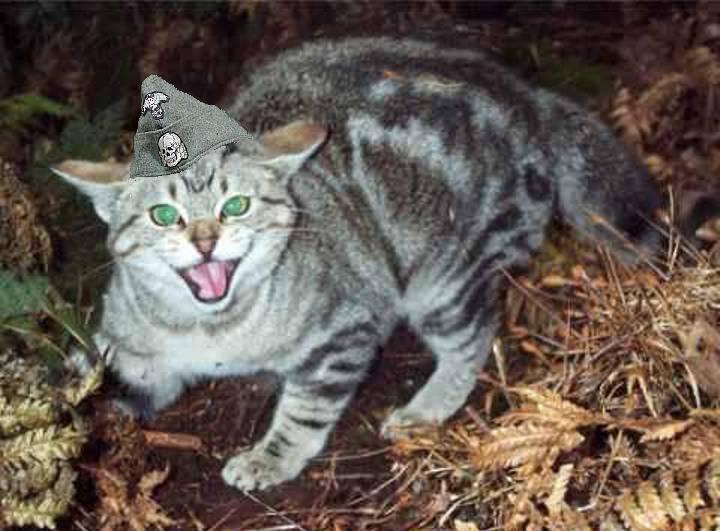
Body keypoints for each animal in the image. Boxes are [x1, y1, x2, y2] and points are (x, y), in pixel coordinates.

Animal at [53, 36, 662, 491]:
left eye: (236, 206)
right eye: (163, 215)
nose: (206, 242)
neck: (212, 332)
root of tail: (528, 96)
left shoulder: (343, 329)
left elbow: (304, 409)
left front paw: (269, 458)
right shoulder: (128, 353)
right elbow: (86, 377)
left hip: (445, 278)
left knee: (473, 336)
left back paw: (425, 408)